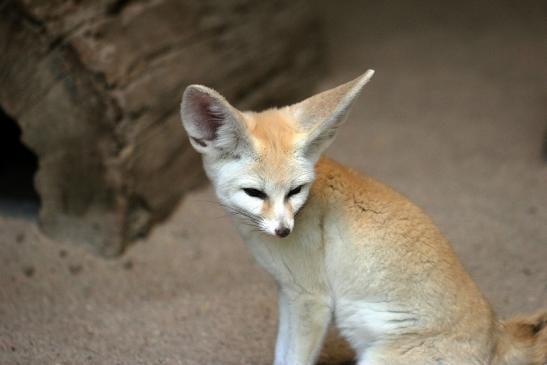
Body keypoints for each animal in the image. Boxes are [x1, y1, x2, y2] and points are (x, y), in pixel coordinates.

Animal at [181, 69, 547, 362]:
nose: (284, 230)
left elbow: (293, 359)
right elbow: (281, 352)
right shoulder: (288, 292)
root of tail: (497, 333)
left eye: (295, 190)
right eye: (254, 193)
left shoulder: (312, 299)